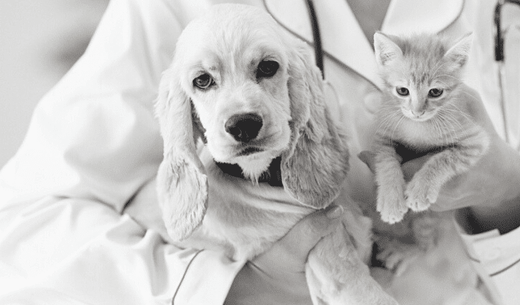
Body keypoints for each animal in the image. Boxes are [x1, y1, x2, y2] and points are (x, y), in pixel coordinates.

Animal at [370, 31, 492, 268]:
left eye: (435, 92)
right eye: (402, 91)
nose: (417, 112)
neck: (418, 127)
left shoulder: (475, 140)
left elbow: (442, 159)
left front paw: (421, 189)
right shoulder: (382, 136)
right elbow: (386, 164)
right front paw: (391, 200)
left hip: (428, 218)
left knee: (429, 246)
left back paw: (404, 250)